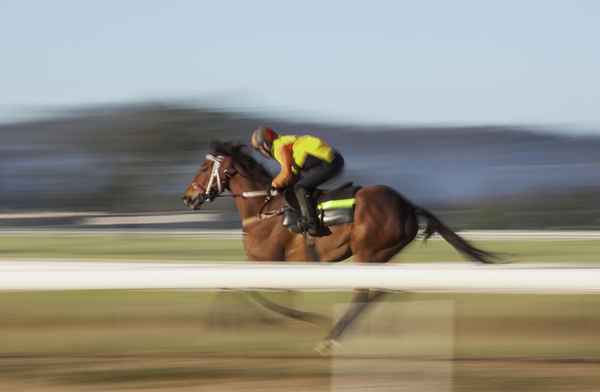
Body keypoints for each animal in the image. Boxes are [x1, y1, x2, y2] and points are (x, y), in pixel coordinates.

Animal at [182, 141, 496, 352]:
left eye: (204, 167)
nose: (187, 197)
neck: (264, 209)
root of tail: (407, 205)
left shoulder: (268, 262)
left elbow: (252, 292)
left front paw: (303, 318)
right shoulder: (265, 265)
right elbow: (229, 286)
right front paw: (218, 324)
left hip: (368, 252)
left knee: (365, 293)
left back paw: (331, 338)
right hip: (381, 255)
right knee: (385, 290)